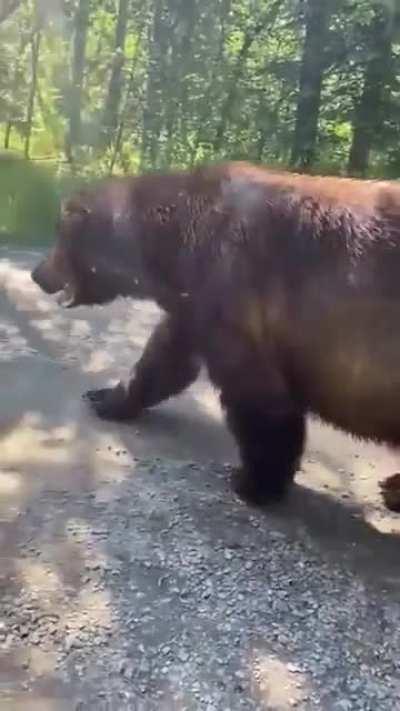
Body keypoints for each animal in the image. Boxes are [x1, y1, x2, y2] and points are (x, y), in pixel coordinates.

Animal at [31, 161, 400, 506]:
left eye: (59, 236)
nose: (37, 273)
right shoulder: (192, 304)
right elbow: (164, 358)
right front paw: (106, 397)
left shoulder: (233, 288)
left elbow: (257, 394)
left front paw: (255, 482)